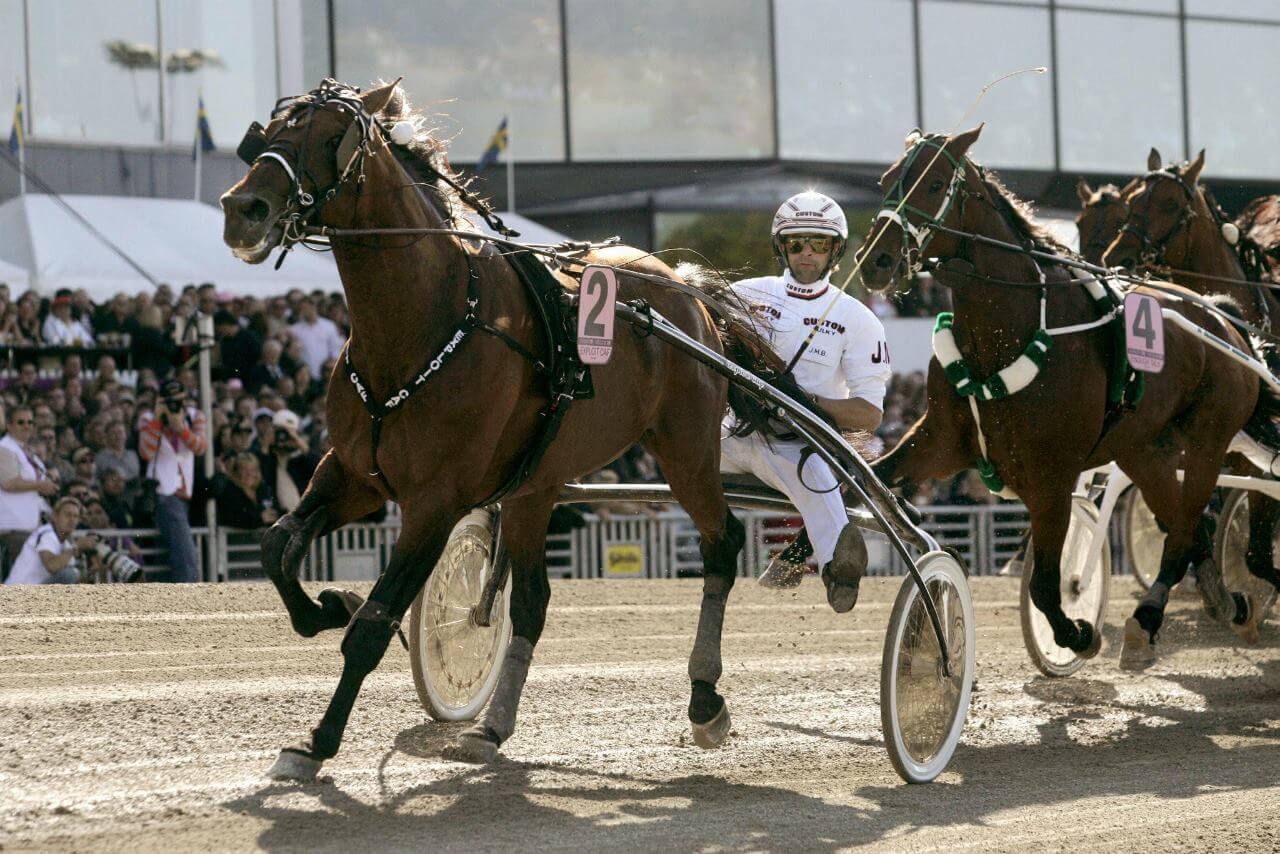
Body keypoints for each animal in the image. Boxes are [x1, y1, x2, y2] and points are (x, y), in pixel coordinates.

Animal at [220, 79, 769, 779]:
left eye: (331, 137)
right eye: (268, 132)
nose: (243, 208)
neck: (425, 320)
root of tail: (683, 291)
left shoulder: (434, 501)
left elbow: (371, 627)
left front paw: (316, 742)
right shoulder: (354, 475)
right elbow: (273, 548)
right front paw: (325, 607)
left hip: (687, 453)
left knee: (723, 544)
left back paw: (705, 700)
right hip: (537, 485)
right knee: (533, 598)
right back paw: (492, 726)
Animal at [854, 126, 1278, 671]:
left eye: (932, 184)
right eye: (886, 179)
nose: (876, 260)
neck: (1004, 329)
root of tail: (1226, 321)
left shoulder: (1051, 477)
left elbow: (1046, 585)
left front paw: (1077, 631)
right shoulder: (940, 441)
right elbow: (873, 475)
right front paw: (801, 551)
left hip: (1209, 439)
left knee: (1190, 529)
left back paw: (1163, 614)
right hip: (1145, 450)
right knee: (1187, 527)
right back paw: (1210, 605)